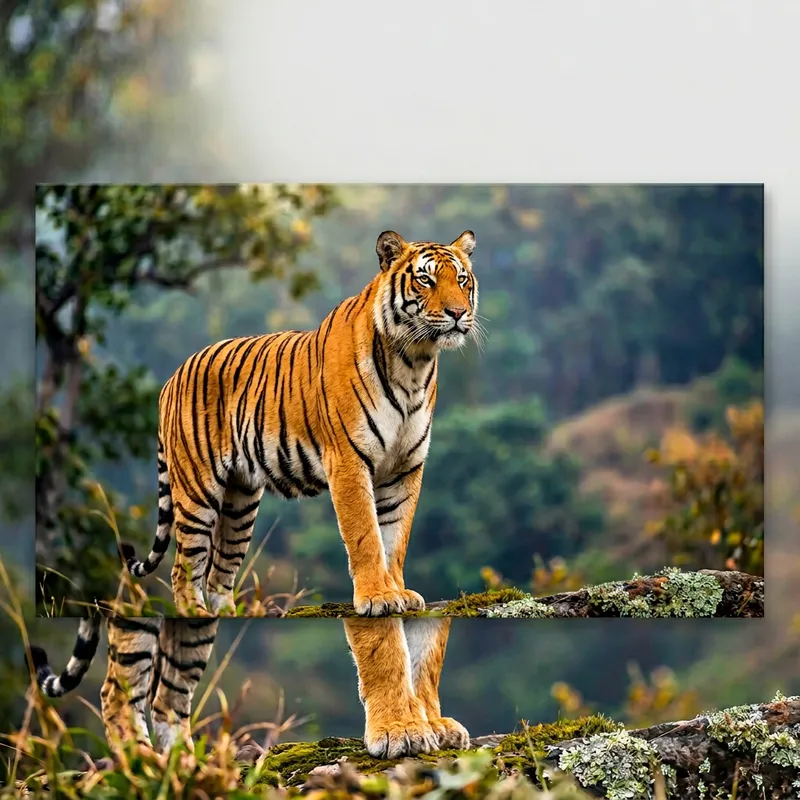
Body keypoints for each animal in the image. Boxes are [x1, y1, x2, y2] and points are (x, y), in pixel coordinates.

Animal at [122, 230, 480, 616]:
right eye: (426, 280)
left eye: (461, 279)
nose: (458, 313)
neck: (413, 362)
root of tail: (172, 378)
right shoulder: (349, 461)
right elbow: (366, 534)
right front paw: (376, 597)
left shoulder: (405, 467)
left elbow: (395, 538)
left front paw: (399, 592)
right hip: (197, 490)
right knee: (184, 567)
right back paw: (196, 615)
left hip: (240, 499)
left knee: (219, 571)